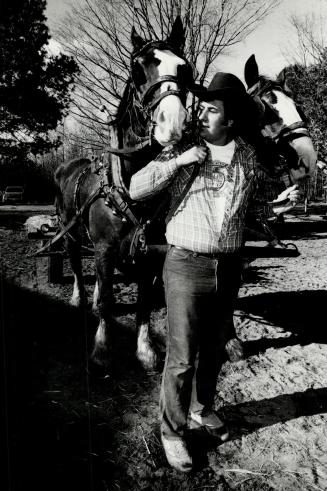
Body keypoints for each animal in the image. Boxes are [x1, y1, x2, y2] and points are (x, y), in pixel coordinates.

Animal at [54, 18, 195, 372]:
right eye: (137, 70)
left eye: (184, 69)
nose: (172, 124)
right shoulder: (104, 247)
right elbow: (107, 298)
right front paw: (102, 349)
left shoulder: (149, 251)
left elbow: (143, 300)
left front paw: (145, 349)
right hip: (70, 234)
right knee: (77, 266)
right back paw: (79, 297)